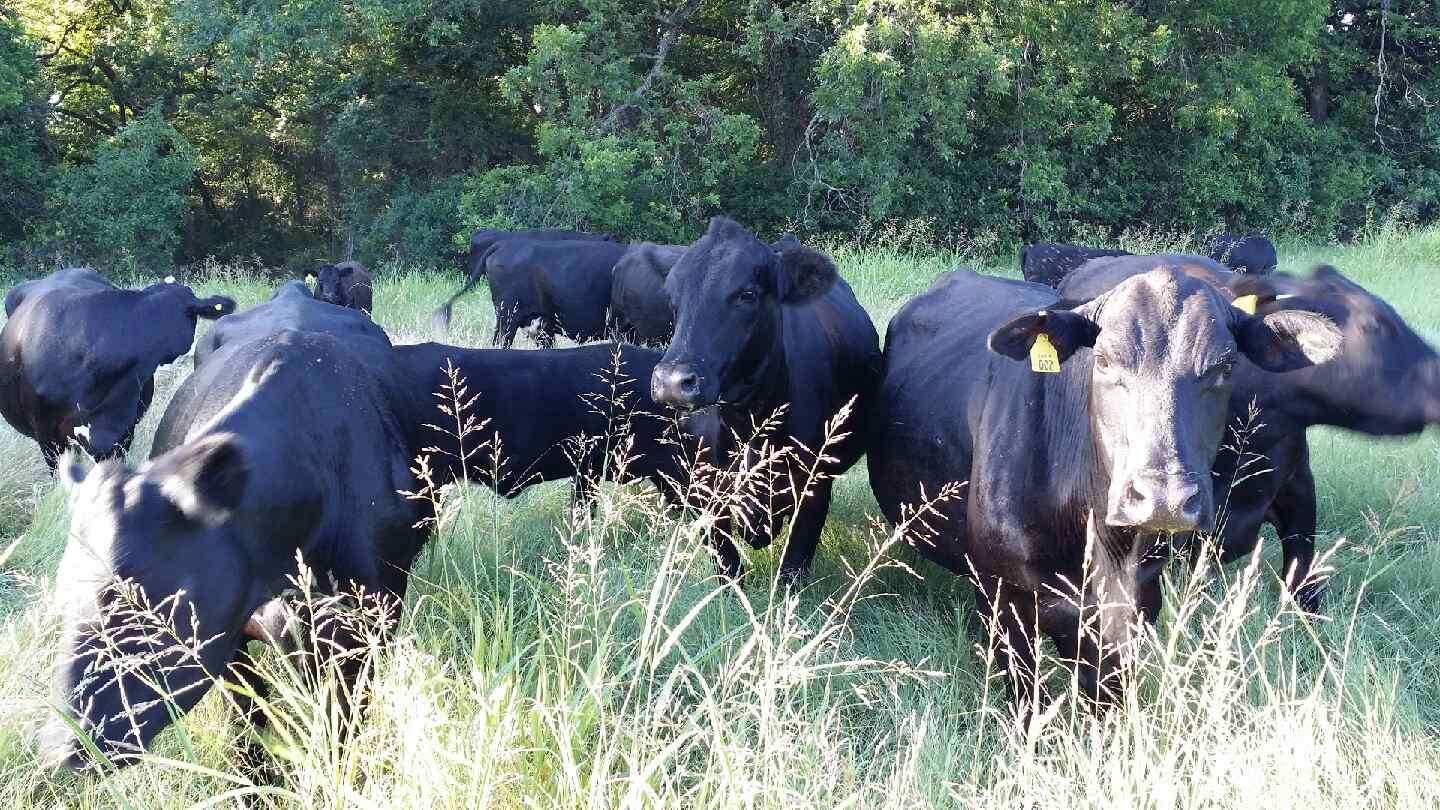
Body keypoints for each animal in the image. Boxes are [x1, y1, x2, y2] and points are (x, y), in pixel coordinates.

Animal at [40, 326, 428, 771]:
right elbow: (249, 716)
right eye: (63, 596)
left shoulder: (366, 627)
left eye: (134, 598)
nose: (58, 748)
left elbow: (340, 724)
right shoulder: (228, 639)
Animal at [650, 218, 881, 581]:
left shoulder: (815, 485)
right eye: (672, 297)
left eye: (747, 294)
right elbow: (728, 567)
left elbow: (792, 569)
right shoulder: (702, 485)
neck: (750, 423)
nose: (672, 382)